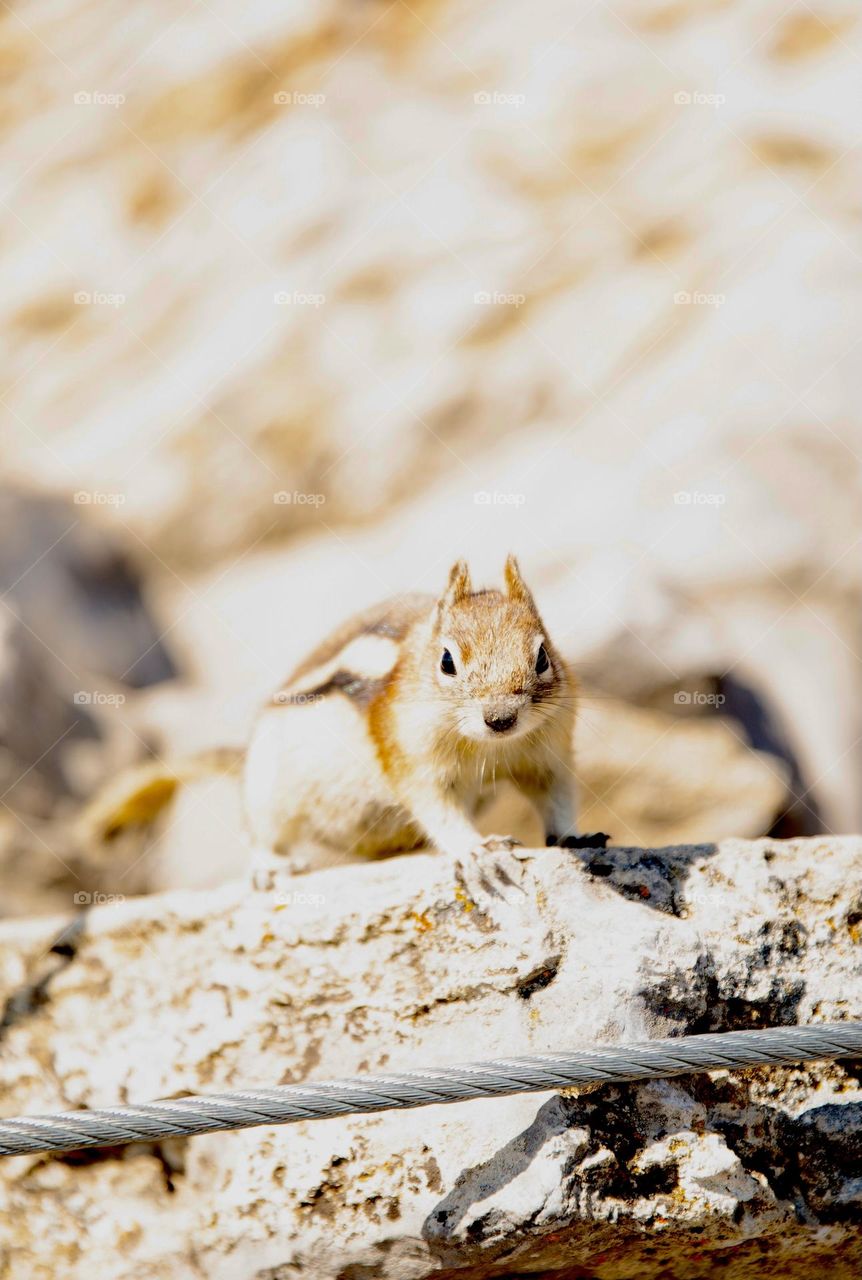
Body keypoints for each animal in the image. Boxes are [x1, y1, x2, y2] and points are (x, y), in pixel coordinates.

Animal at [242, 555, 607, 876]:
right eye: (446, 662)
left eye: (543, 657)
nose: (501, 719)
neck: (489, 746)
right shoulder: (416, 763)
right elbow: (438, 809)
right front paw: (475, 849)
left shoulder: (548, 757)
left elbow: (556, 797)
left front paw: (573, 836)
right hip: (266, 789)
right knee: (263, 835)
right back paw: (272, 866)